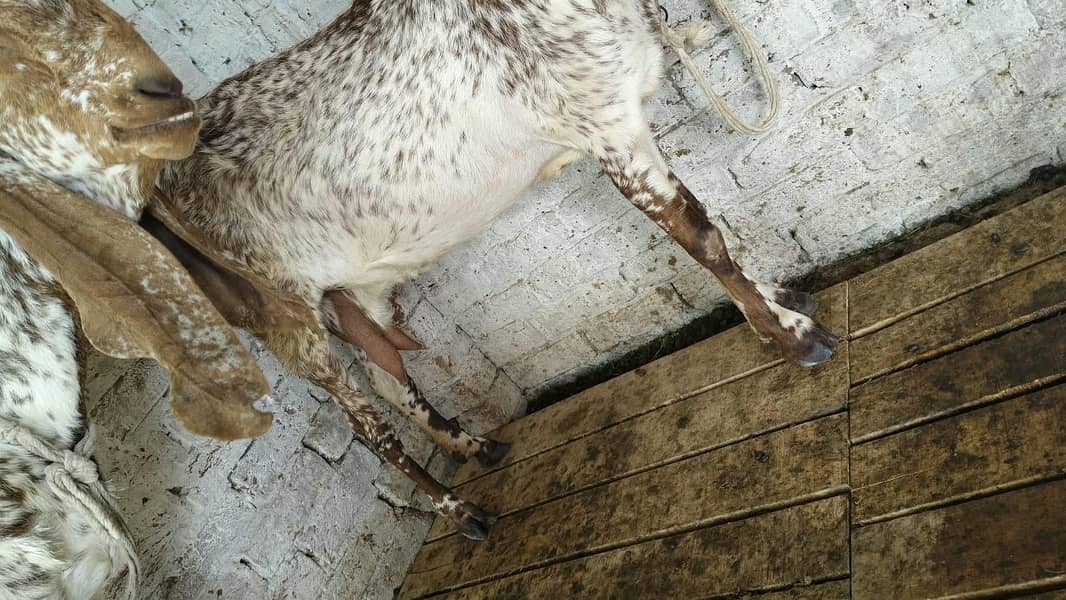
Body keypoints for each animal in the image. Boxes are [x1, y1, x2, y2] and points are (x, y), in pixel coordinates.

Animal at [154, 0, 839, 541]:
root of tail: (154, 193)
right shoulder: (608, 131)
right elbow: (705, 240)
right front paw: (791, 335)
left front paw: (780, 297)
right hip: (290, 325)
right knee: (366, 425)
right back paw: (461, 512)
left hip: (359, 289)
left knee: (390, 382)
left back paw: (475, 445)